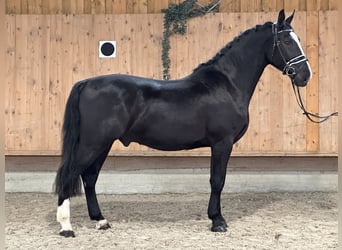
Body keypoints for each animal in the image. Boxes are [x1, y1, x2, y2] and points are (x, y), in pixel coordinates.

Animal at [54, 9, 312, 236]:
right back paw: (66, 227)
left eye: (298, 39)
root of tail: (87, 83)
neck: (227, 84)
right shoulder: (222, 143)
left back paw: (101, 221)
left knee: (89, 177)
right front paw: (217, 221)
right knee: (70, 174)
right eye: (286, 41)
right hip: (93, 143)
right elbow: (217, 180)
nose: (305, 75)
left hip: (103, 144)